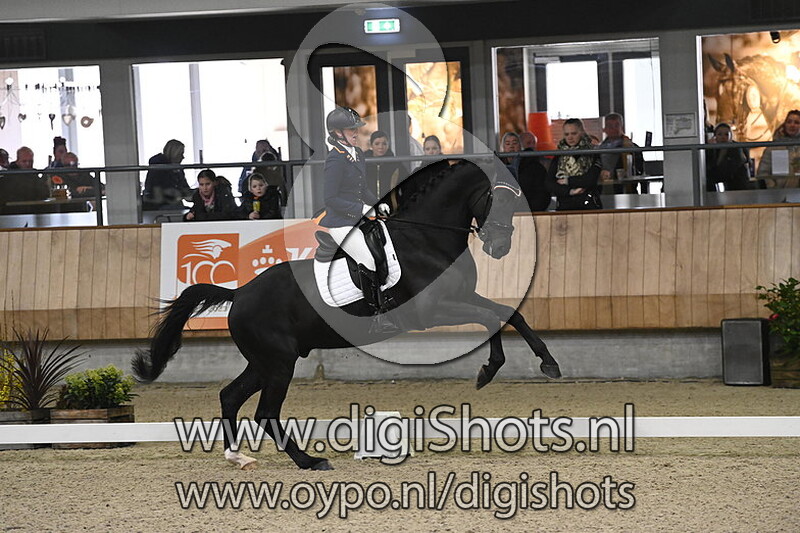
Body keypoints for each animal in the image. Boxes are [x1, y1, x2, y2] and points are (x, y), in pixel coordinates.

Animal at [132, 159, 561, 471]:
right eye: (497, 199)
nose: (500, 247)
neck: (426, 237)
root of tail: (240, 293)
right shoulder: (432, 310)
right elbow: (496, 318)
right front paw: (503, 368)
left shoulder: (461, 296)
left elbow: (507, 315)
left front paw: (531, 365)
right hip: (279, 362)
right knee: (266, 412)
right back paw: (309, 461)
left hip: (264, 361)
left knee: (231, 396)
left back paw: (238, 456)